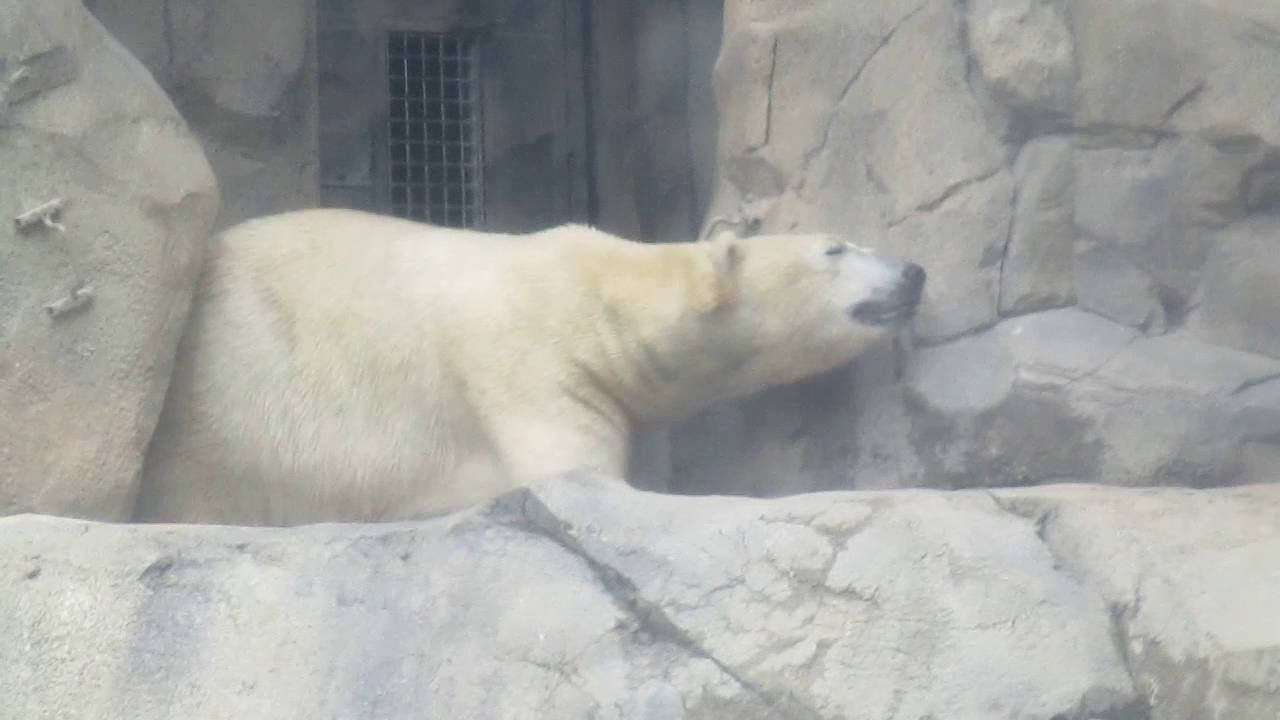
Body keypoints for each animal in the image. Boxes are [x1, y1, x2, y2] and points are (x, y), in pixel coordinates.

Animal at [136, 208, 925, 525]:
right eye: (834, 249)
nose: (913, 272)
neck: (596, 298)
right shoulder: (531, 367)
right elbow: (577, 473)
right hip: (221, 417)